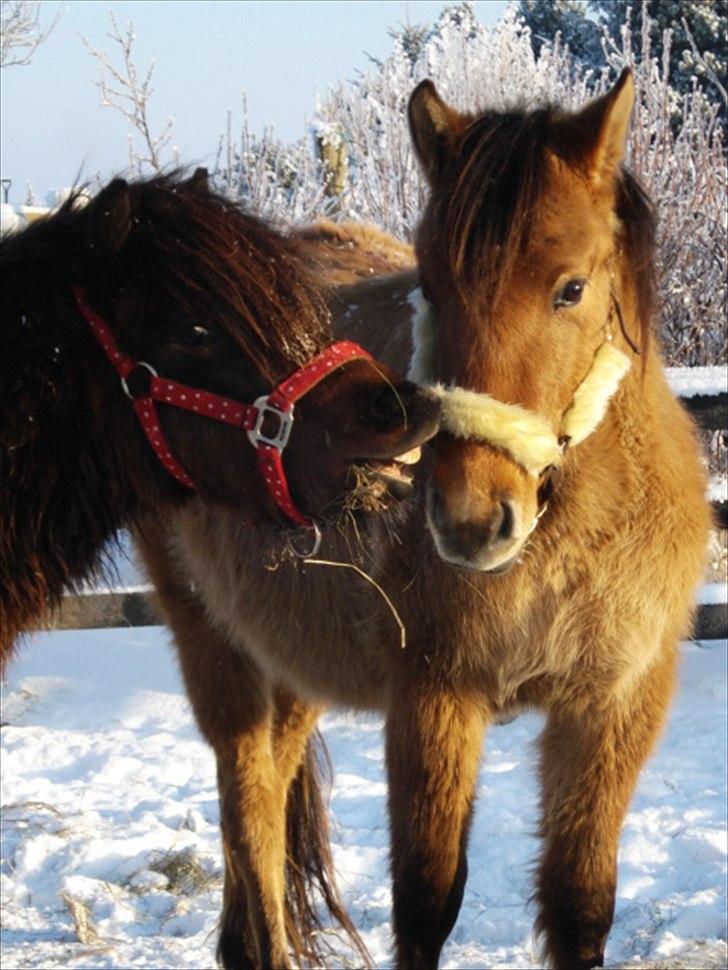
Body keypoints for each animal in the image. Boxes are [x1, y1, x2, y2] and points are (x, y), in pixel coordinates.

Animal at [136, 73, 712, 968]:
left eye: (571, 288)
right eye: (430, 288)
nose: (471, 519)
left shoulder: (611, 711)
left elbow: (581, 906)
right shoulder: (434, 700)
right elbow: (427, 901)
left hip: (293, 659)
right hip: (211, 641)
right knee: (250, 802)